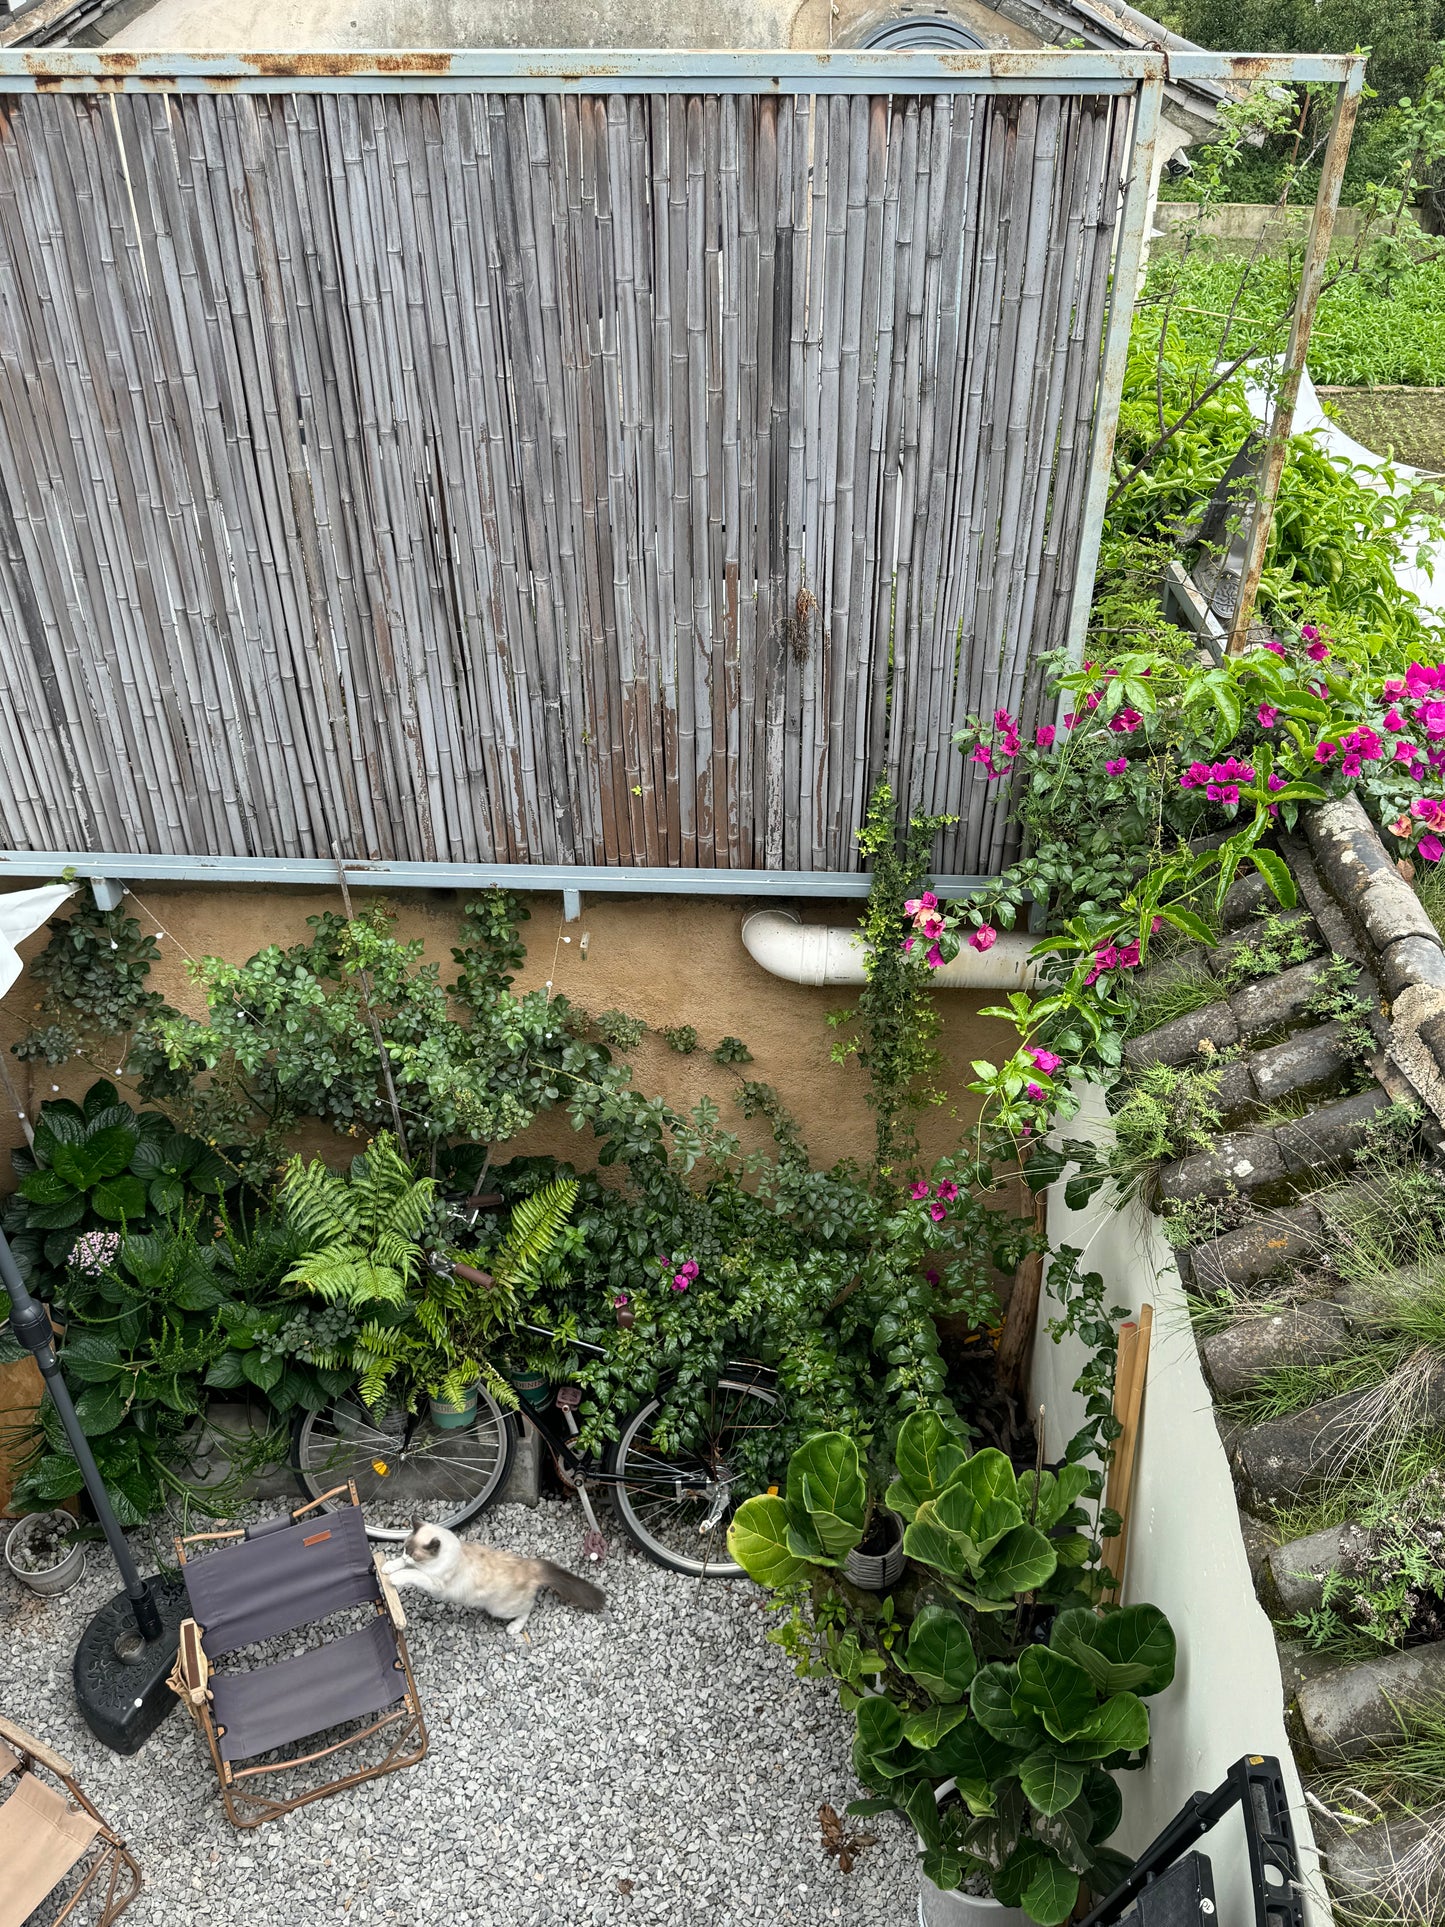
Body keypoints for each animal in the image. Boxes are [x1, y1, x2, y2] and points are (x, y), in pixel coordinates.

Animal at [385, 1518, 604, 1641]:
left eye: (414, 1554)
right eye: (404, 1549)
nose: (406, 1556)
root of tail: (531, 1566)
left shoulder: (434, 1582)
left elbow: (412, 1574)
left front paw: (394, 1578)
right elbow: (401, 1565)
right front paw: (388, 1567)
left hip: (499, 1609)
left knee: (528, 1608)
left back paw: (514, 1628)